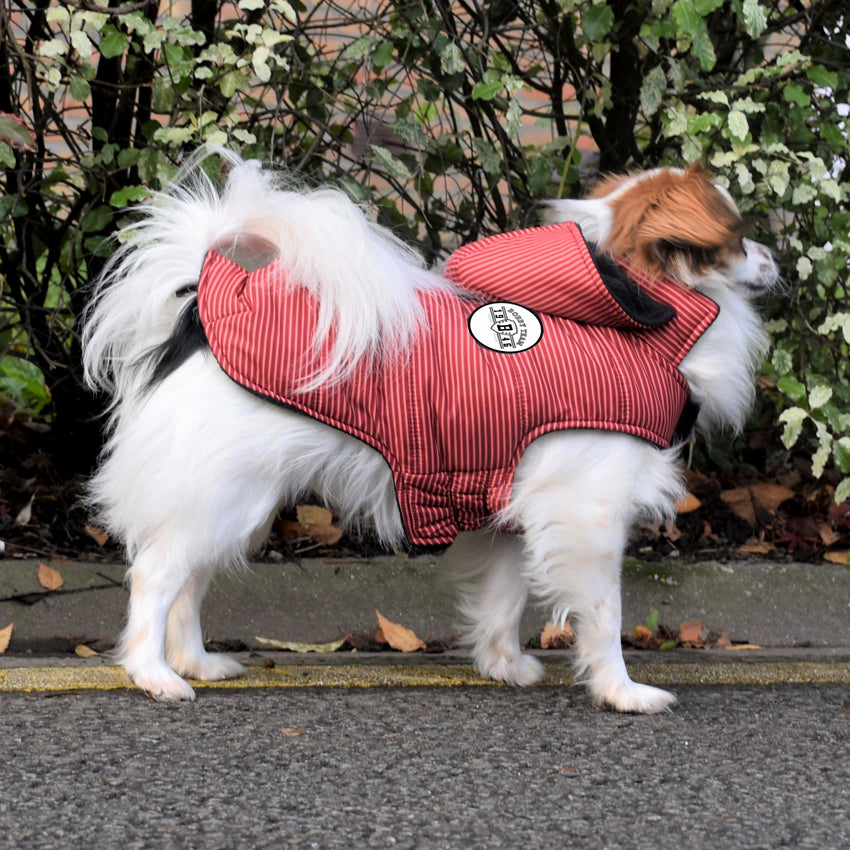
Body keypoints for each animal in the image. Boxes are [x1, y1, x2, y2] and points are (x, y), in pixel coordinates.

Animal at [83, 151, 780, 708]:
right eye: (740, 241)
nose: (776, 260)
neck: (638, 314)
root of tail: (202, 308)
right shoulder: (588, 513)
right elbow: (605, 617)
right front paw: (621, 692)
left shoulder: (511, 508)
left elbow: (504, 598)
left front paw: (504, 665)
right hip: (226, 495)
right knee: (155, 577)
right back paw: (154, 675)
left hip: (229, 502)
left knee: (190, 581)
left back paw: (197, 662)